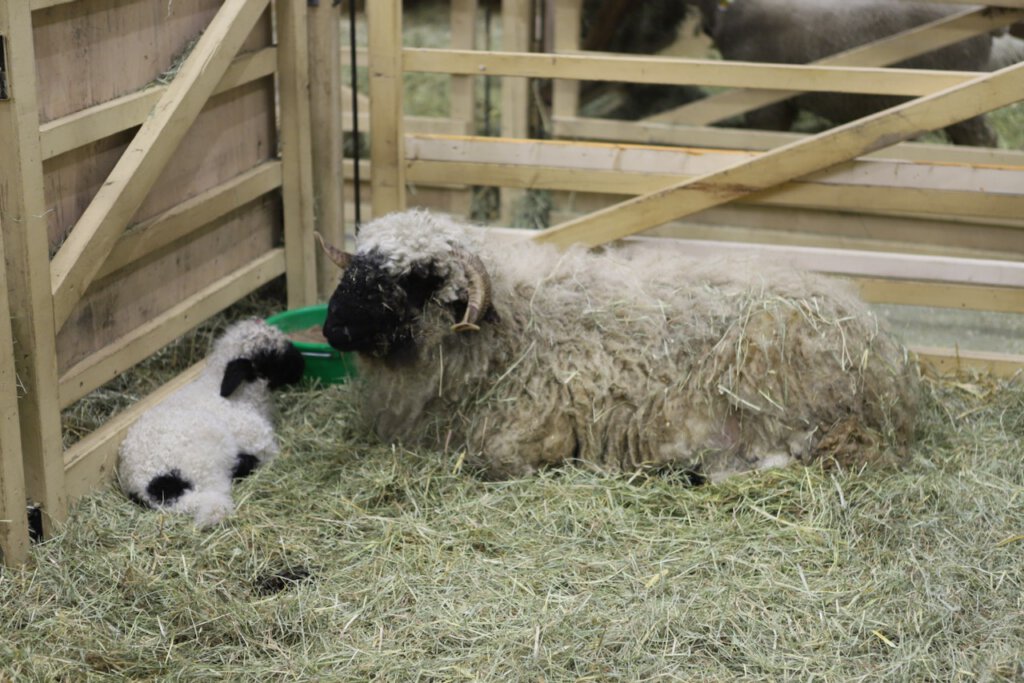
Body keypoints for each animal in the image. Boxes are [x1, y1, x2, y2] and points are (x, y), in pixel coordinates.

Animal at [319, 210, 921, 483]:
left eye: (417, 278)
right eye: (359, 263)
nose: (333, 330)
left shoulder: (538, 431)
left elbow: (498, 460)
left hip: (774, 392)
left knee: (791, 453)